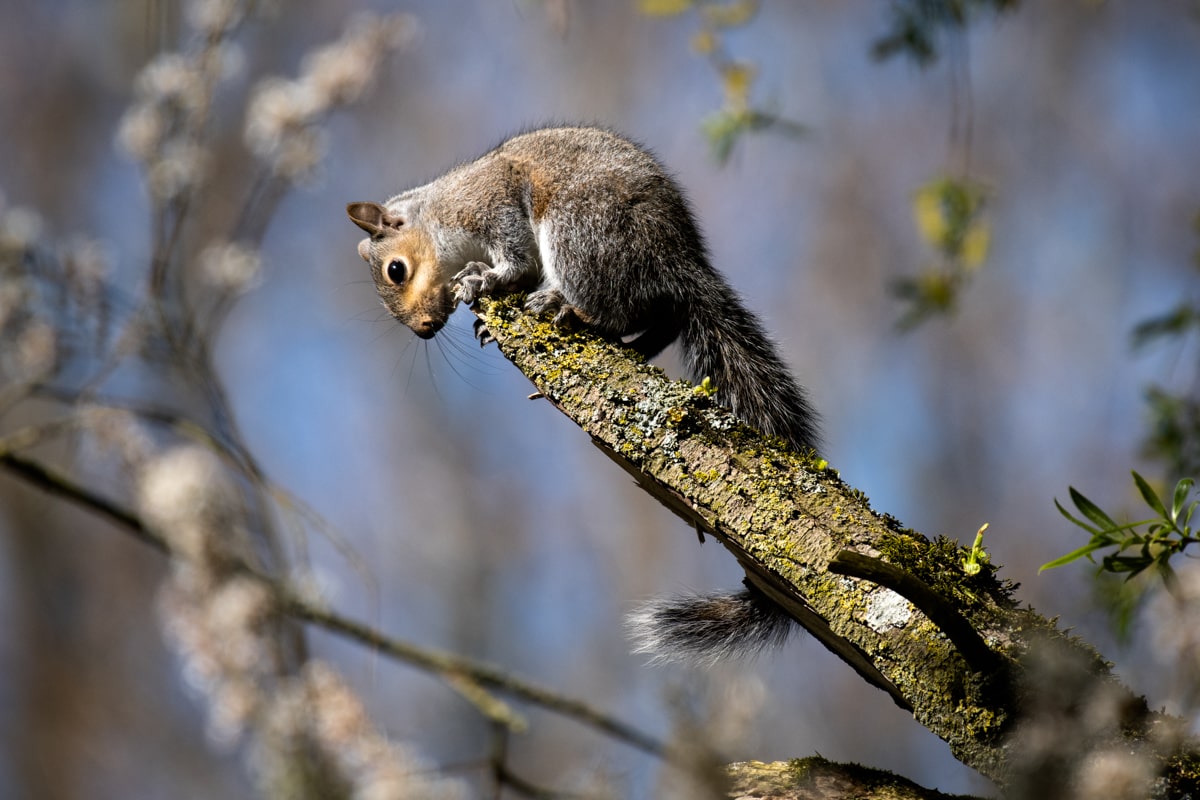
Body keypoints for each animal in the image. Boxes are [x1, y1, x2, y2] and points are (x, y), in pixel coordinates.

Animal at [343, 126, 820, 662]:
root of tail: (677, 257)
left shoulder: (492, 204)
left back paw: (566, 306)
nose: (423, 329)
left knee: (617, 304)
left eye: (396, 270)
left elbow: (513, 256)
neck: (440, 216)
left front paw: (488, 277)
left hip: (580, 229)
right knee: (660, 316)